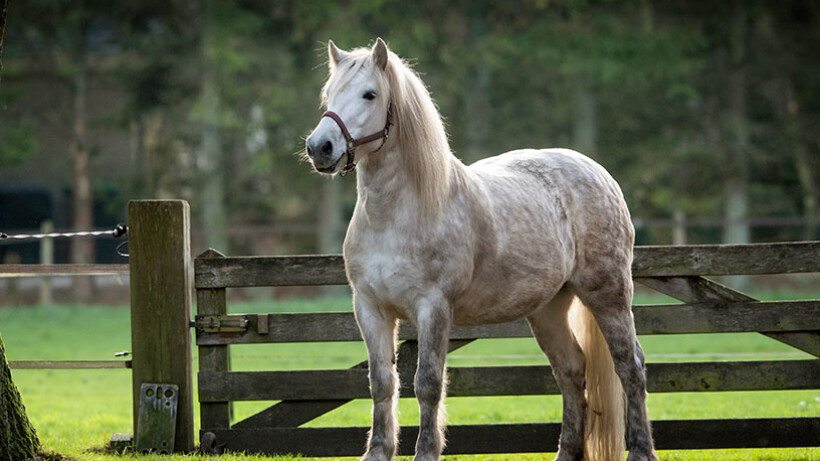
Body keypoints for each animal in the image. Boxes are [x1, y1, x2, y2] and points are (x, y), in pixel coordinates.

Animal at [304, 38, 656, 460]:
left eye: (369, 94)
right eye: (329, 93)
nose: (320, 147)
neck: (398, 215)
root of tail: (598, 172)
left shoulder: (433, 308)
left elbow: (427, 383)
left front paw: (426, 452)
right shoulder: (370, 308)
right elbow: (382, 383)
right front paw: (377, 452)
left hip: (608, 295)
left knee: (630, 366)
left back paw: (640, 450)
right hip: (549, 308)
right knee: (571, 370)